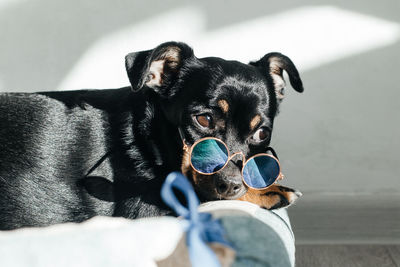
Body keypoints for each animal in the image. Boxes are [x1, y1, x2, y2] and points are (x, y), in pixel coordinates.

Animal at [0, 41, 304, 230]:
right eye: (204, 120)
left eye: (262, 133)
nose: (231, 185)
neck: (150, 138)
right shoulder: (147, 211)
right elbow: (199, 195)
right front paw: (271, 190)